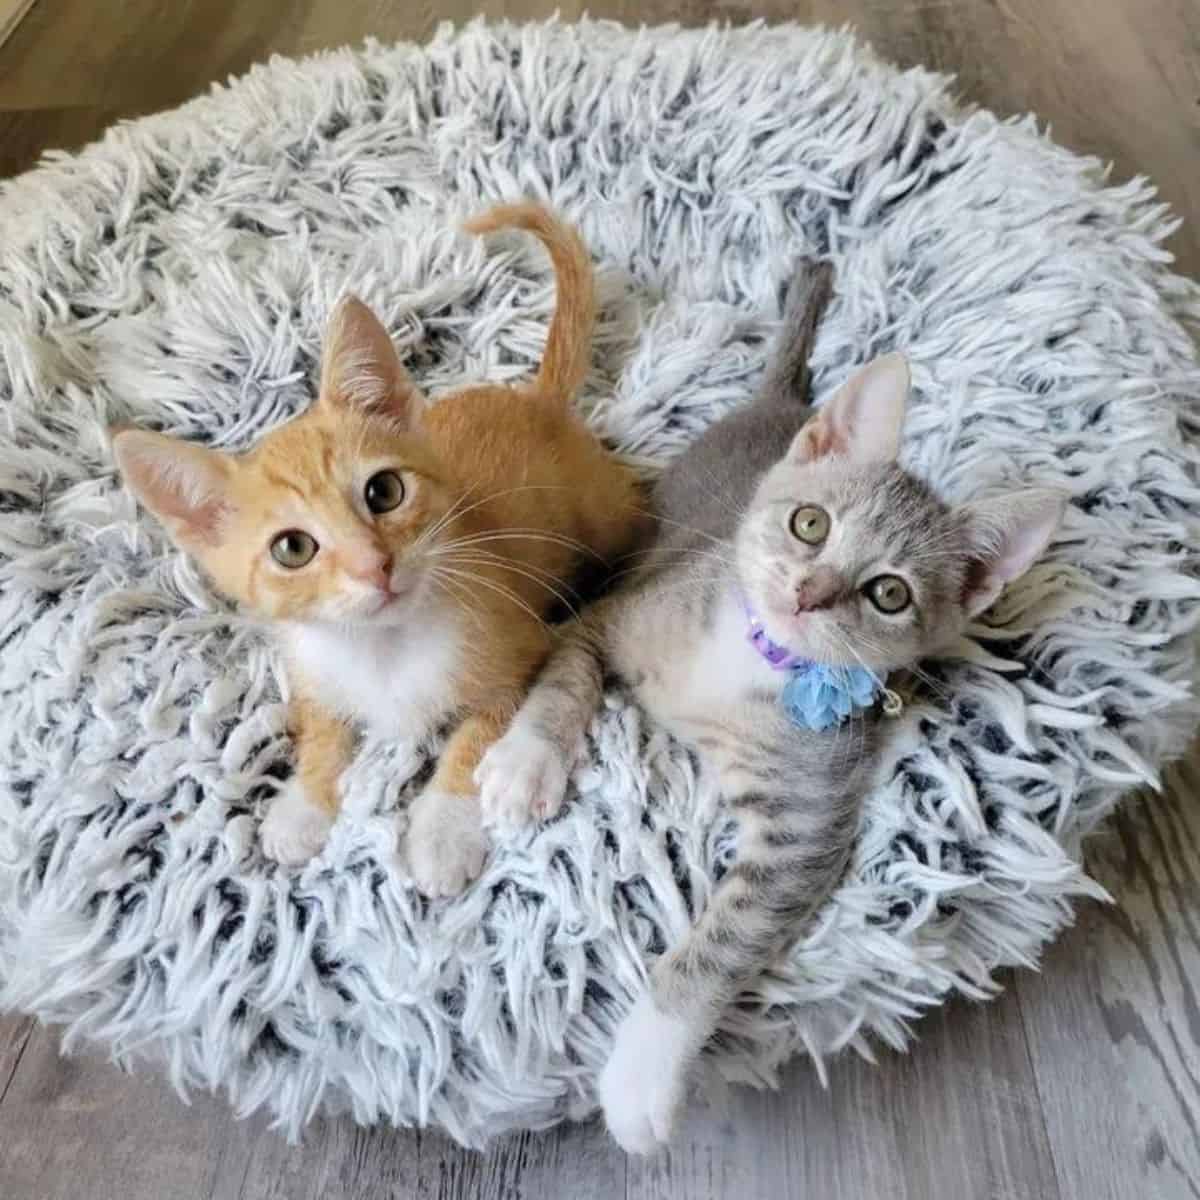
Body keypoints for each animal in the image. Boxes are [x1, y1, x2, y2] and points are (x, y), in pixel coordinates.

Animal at [112, 201, 648, 897]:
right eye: (292, 548)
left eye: (384, 491)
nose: (376, 565)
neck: (382, 650)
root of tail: (537, 399)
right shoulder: (311, 670)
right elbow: (320, 730)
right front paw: (302, 805)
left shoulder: (522, 647)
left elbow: (476, 734)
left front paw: (443, 831)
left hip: (608, 517)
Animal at [472, 265, 1065, 1152]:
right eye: (810, 524)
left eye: (888, 593)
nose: (809, 592)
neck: (749, 656)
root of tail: (781, 402)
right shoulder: (612, 618)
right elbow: (563, 680)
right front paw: (525, 762)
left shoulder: (804, 826)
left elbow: (725, 938)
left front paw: (643, 1072)